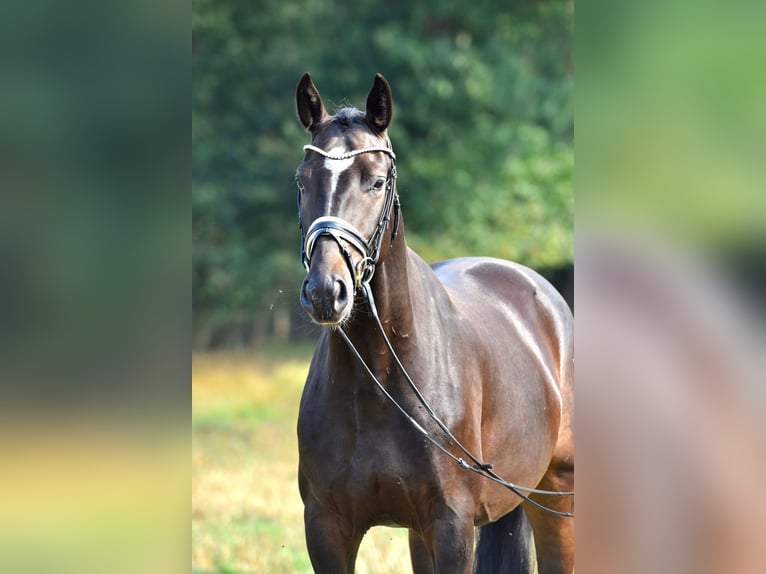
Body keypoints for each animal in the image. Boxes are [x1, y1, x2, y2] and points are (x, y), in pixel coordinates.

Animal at [294, 73, 576, 574]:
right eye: (302, 180)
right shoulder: (327, 529)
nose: (326, 291)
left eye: (377, 182)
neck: (379, 381)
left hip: (556, 496)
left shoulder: (451, 527)